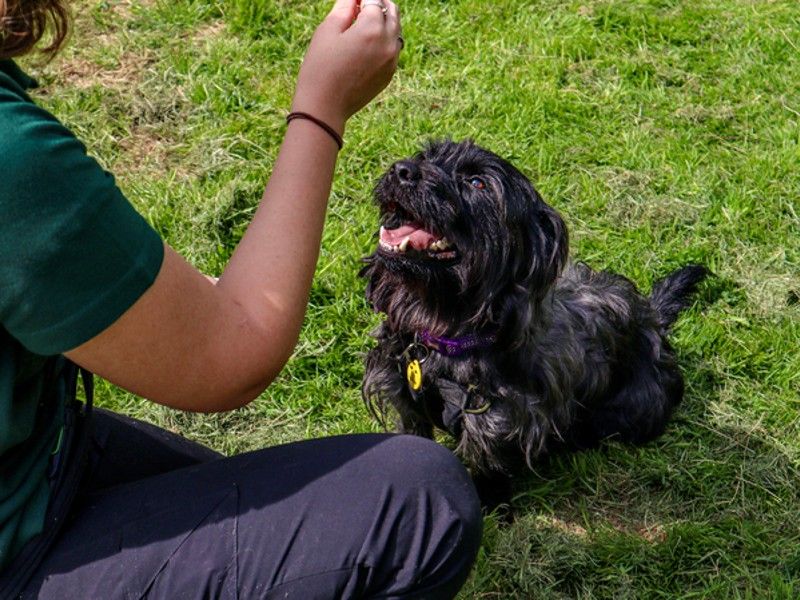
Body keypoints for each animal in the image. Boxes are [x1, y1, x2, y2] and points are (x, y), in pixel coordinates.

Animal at [362, 141, 708, 510]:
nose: (401, 170)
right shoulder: (403, 395)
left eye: (477, 183)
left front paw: (492, 508)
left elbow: (488, 467)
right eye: (424, 157)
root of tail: (653, 316)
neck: (443, 332)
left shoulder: (494, 420)